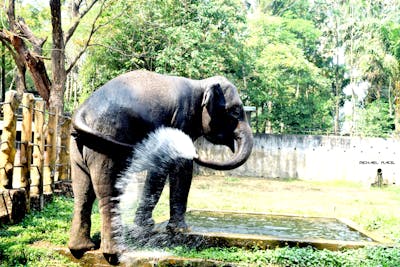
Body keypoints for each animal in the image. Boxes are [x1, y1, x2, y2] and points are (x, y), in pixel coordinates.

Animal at [67, 69, 252, 262]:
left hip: (79, 144)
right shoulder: (182, 120)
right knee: (107, 191)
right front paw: (181, 230)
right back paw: (116, 252)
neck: (200, 84)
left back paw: (81, 248)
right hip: (106, 140)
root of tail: (82, 111)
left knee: (82, 192)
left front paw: (145, 225)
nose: (197, 154)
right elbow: (179, 167)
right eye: (235, 111)